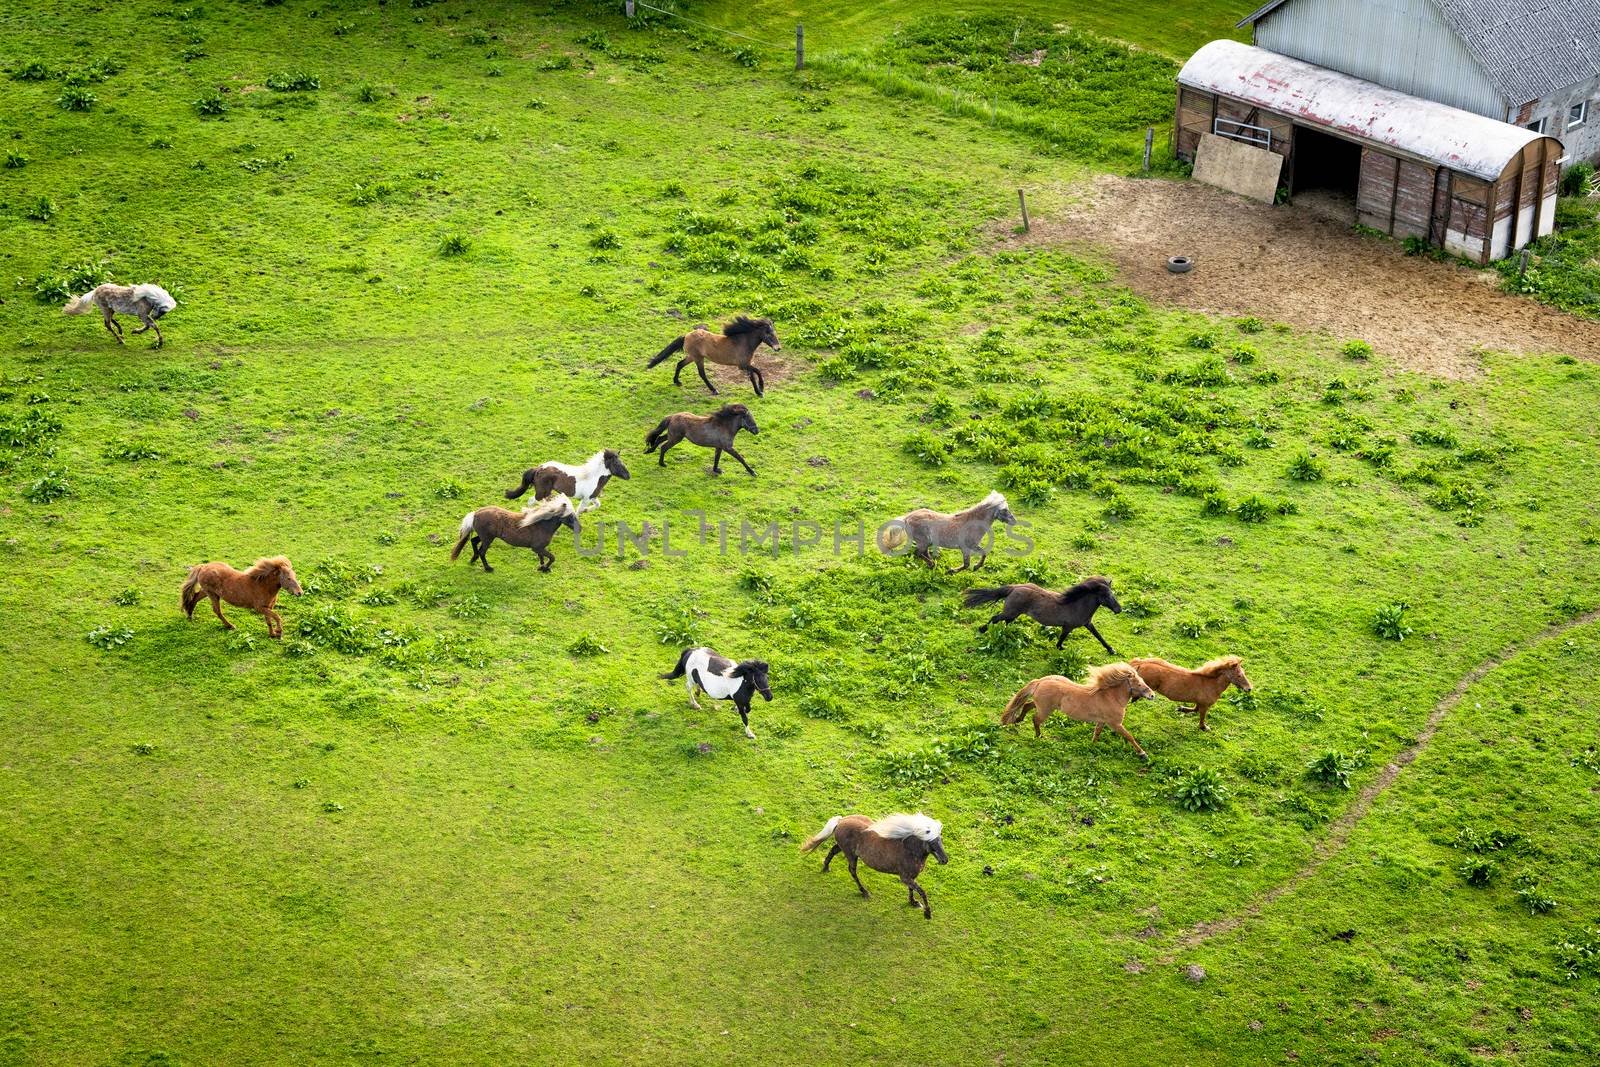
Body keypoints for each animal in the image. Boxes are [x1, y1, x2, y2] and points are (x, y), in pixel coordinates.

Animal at [448, 495, 579, 572]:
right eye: (570, 516)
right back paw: (488, 568)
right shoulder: (537, 548)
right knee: (482, 552)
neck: (542, 525)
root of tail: (476, 513)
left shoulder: (539, 549)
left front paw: (542, 568)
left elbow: (542, 557)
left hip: (485, 537)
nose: (579, 529)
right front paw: (545, 568)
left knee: (473, 541)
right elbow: (552, 557)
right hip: (488, 539)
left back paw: (473, 559)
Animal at [643, 319, 780, 403]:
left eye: (775, 333)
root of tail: (686, 335)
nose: (778, 348)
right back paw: (714, 390)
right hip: (698, 358)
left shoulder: (746, 364)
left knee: (679, 364)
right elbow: (757, 372)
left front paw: (759, 391)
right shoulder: (742, 365)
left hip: (692, 357)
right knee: (702, 374)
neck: (742, 342)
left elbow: (754, 375)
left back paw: (677, 382)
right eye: (769, 334)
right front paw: (760, 390)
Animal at [876, 492, 1011, 575]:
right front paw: (953, 571)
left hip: (926, 542)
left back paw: (932, 564)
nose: (1013, 521)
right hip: (922, 541)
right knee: (917, 553)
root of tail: (907, 518)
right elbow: (970, 562)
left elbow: (978, 557)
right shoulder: (967, 547)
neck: (972, 523)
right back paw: (932, 564)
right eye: (1004, 510)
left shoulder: (969, 547)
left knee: (923, 553)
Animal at [960, 575, 1126, 652]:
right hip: (1010, 612)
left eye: (1112, 594)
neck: (1076, 605)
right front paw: (1060, 648)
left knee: (1004, 623)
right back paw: (981, 630)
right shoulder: (1068, 627)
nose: (1118, 609)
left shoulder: (1088, 624)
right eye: (1106, 595)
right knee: (995, 618)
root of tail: (1015, 587)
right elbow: (1061, 639)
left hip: (1013, 614)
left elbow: (1099, 636)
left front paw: (1111, 650)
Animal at [998, 662, 1152, 755]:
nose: (1152, 695)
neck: (1111, 697)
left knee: (1026, 706)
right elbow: (1129, 736)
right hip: (1045, 710)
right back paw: (1038, 736)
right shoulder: (1115, 724)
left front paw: (1092, 746)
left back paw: (1017, 720)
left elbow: (1097, 733)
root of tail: (1040, 681)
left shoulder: (1102, 721)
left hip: (1040, 705)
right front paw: (1143, 754)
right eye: (1139, 684)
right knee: (1035, 719)